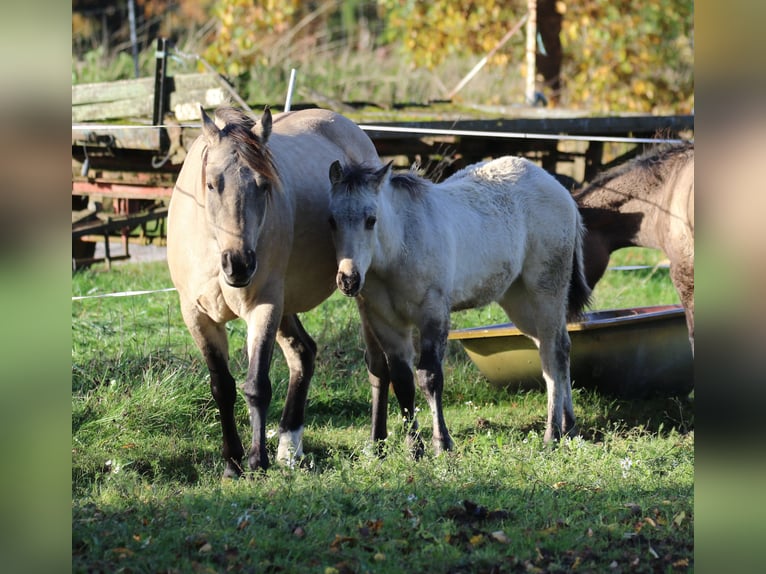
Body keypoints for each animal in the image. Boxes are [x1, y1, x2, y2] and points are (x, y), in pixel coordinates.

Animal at [167, 105, 380, 477]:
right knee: (303, 353)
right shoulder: (197, 316)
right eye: (211, 183)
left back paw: (377, 445)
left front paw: (256, 460)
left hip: (353, 289)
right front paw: (232, 463)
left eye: (263, 184)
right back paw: (290, 449)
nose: (238, 264)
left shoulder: (264, 306)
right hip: (286, 306)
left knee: (378, 363)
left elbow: (256, 386)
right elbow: (222, 387)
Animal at [327, 156, 592, 454]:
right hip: (520, 301)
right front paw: (414, 448)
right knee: (556, 347)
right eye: (332, 220)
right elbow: (403, 381)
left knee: (553, 353)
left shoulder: (433, 313)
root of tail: (561, 191)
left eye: (371, 220)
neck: (401, 245)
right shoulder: (386, 323)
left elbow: (429, 377)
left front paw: (442, 443)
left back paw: (552, 433)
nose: (348, 279)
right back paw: (569, 427)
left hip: (546, 290)